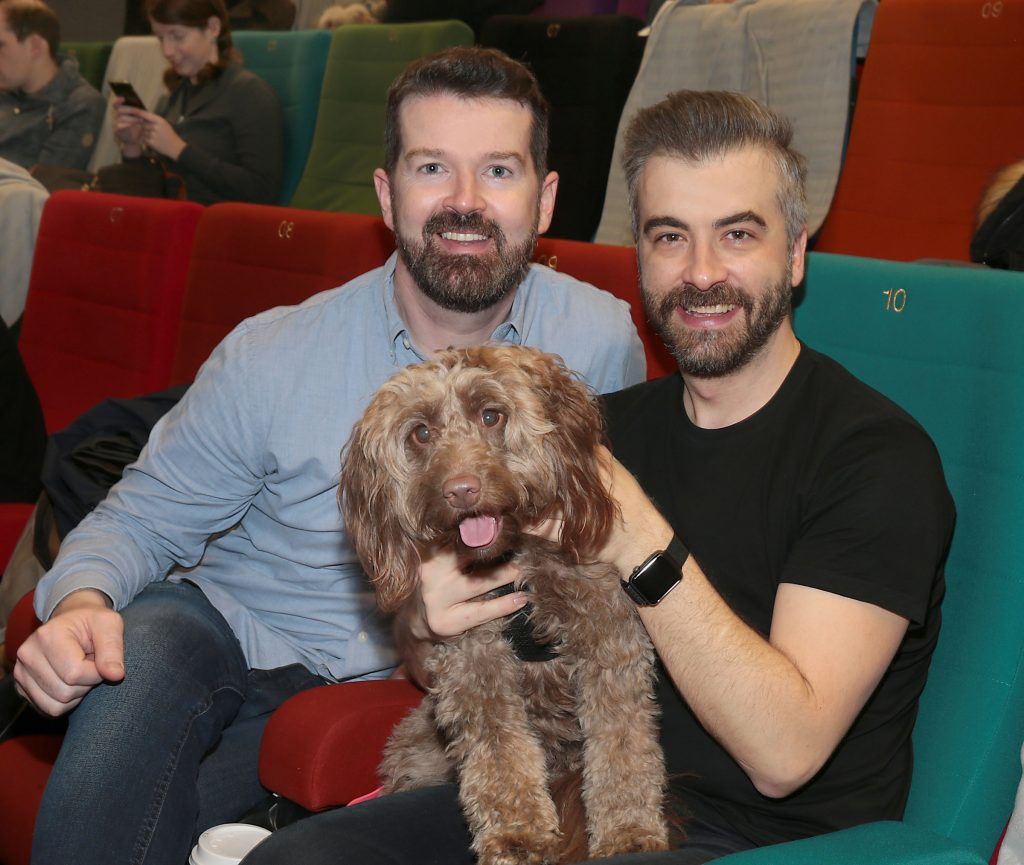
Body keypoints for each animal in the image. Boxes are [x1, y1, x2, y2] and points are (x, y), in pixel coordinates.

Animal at [339, 343, 667, 863]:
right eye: (421, 432)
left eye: (491, 415)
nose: (460, 490)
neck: (517, 561)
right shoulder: (472, 655)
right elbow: (498, 746)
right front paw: (519, 832)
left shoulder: (609, 638)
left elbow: (622, 741)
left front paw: (628, 830)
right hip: (419, 742)